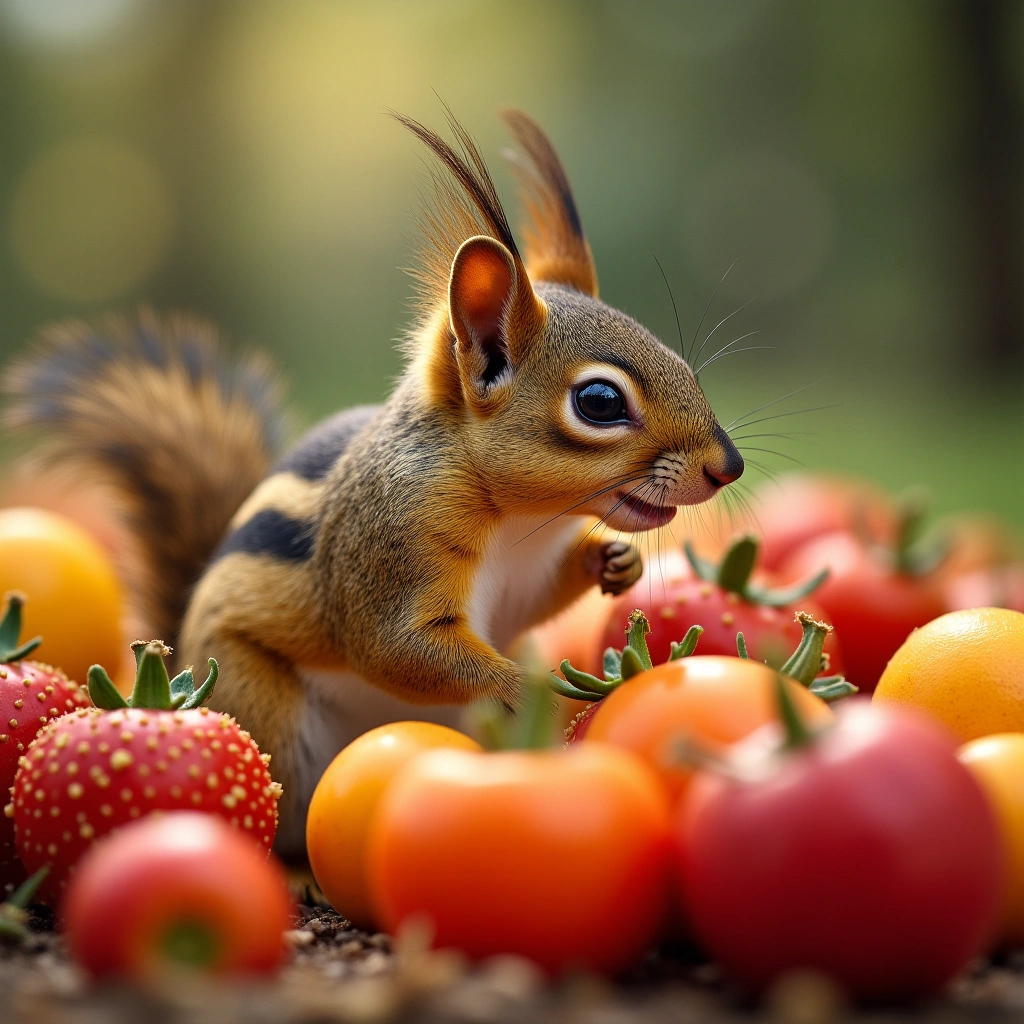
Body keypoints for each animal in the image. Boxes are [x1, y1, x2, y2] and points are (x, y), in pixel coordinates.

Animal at [4, 109, 743, 853]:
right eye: (599, 401)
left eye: (681, 362)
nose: (728, 466)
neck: (523, 523)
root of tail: (177, 649)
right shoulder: (386, 549)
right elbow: (395, 647)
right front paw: (528, 686)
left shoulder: (524, 577)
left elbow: (533, 601)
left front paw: (612, 560)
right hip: (263, 708)